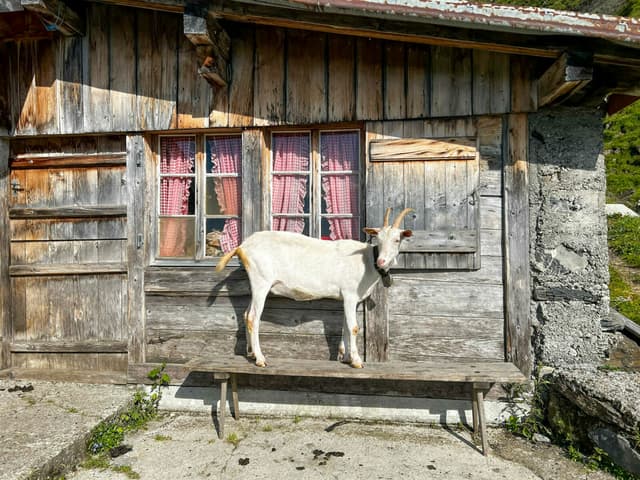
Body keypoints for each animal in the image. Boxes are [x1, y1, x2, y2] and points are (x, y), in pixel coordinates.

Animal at [216, 206, 416, 368]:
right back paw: (260, 359)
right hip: (261, 281)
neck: (367, 260)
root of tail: (243, 246)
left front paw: (345, 358)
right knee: (253, 317)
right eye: (378, 239)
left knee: (245, 314)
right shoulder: (350, 294)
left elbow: (345, 325)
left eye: (397, 240)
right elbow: (353, 327)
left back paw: (250, 353)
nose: (381, 261)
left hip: (256, 285)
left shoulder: (346, 298)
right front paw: (357, 361)